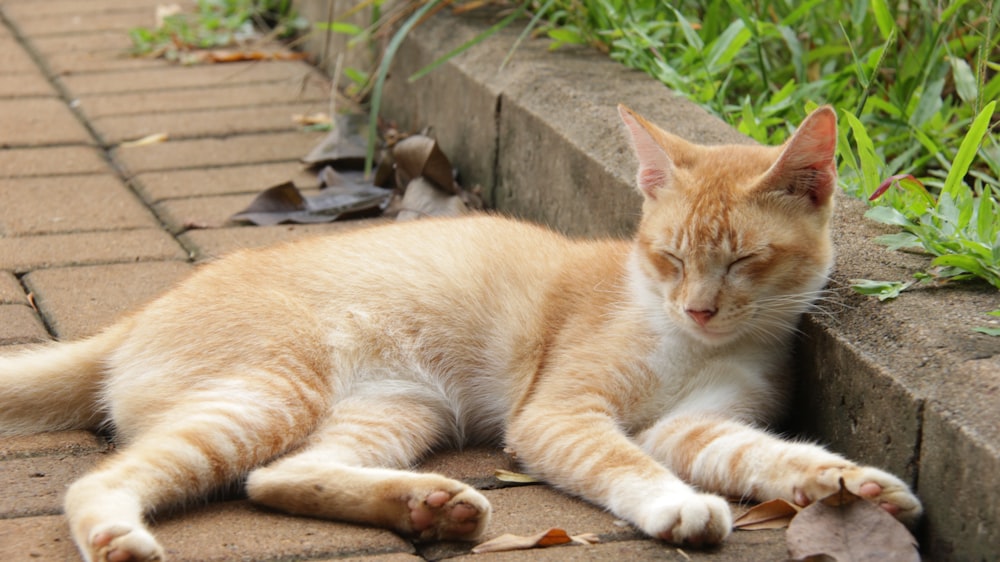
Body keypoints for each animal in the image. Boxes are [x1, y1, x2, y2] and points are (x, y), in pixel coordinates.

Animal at [0, 104, 920, 556]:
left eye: (743, 262)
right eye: (668, 255)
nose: (696, 306)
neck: (696, 344)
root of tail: (138, 315)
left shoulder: (694, 426)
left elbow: (770, 456)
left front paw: (851, 487)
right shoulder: (560, 415)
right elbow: (624, 463)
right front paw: (676, 506)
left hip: (397, 411)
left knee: (279, 477)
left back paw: (427, 506)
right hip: (267, 393)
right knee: (99, 483)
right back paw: (116, 536)